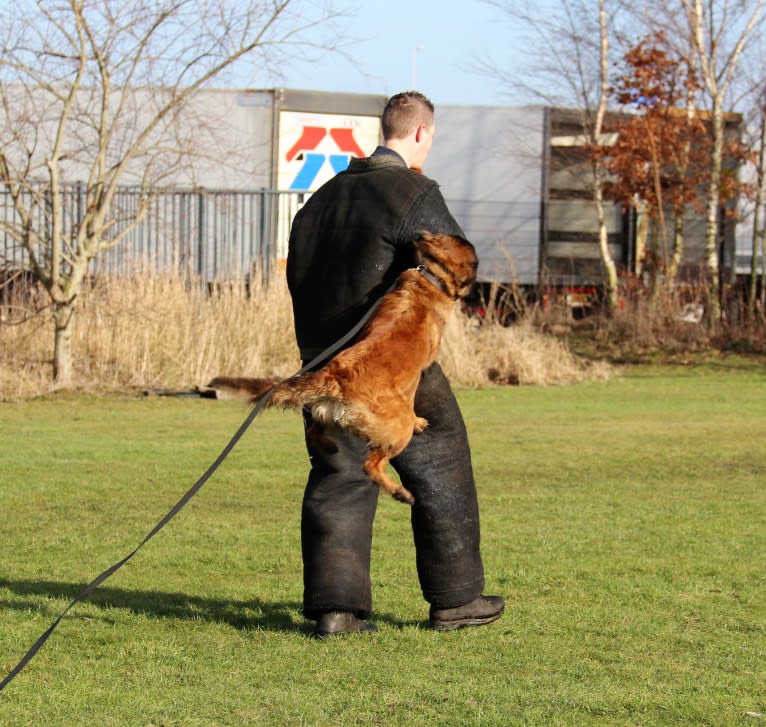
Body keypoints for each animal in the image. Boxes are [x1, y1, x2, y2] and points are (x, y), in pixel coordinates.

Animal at [207, 235, 476, 506]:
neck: (427, 278)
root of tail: (335, 375)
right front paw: (420, 420)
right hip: (398, 428)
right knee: (371, 465)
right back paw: (400, 491)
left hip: (328, 415)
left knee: (315, 431)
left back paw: (328, 447)